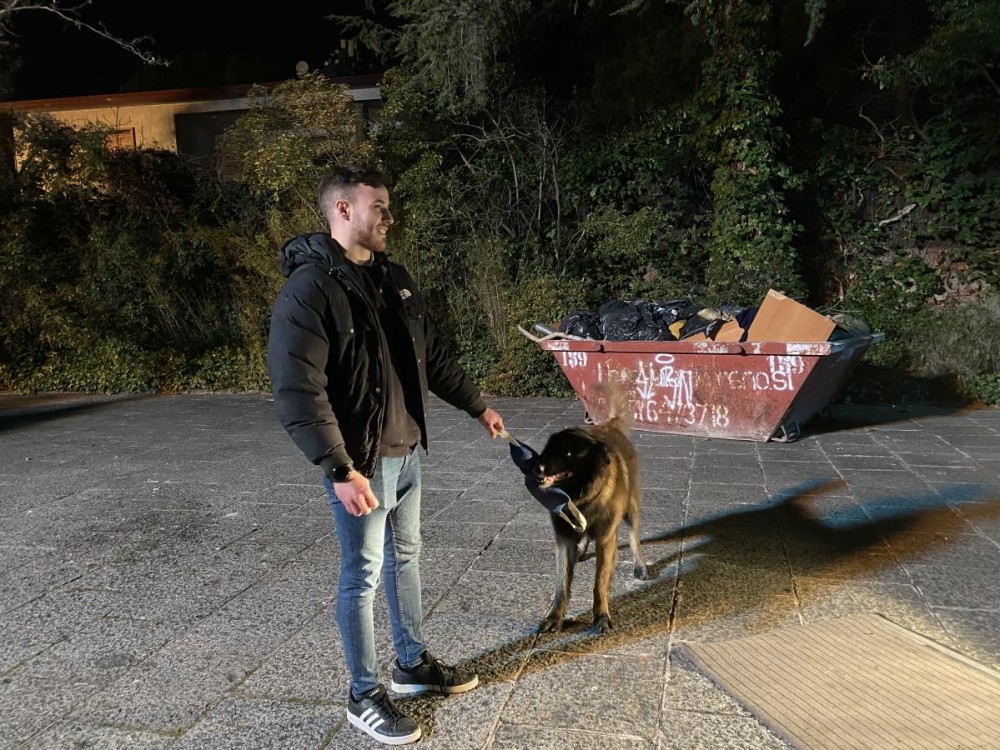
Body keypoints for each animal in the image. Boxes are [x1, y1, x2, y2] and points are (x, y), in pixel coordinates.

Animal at [532, 381, 649, 634]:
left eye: (567, 453)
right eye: (548, 448)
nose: (536, 466)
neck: (579, 498)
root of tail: (610, 425)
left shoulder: (606, 539)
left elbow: (600, 582)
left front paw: (601, 615)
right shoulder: (563, 540)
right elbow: (562, 584)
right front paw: (554, 616)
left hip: (632, 508)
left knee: (634, 536)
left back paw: (640, 565)